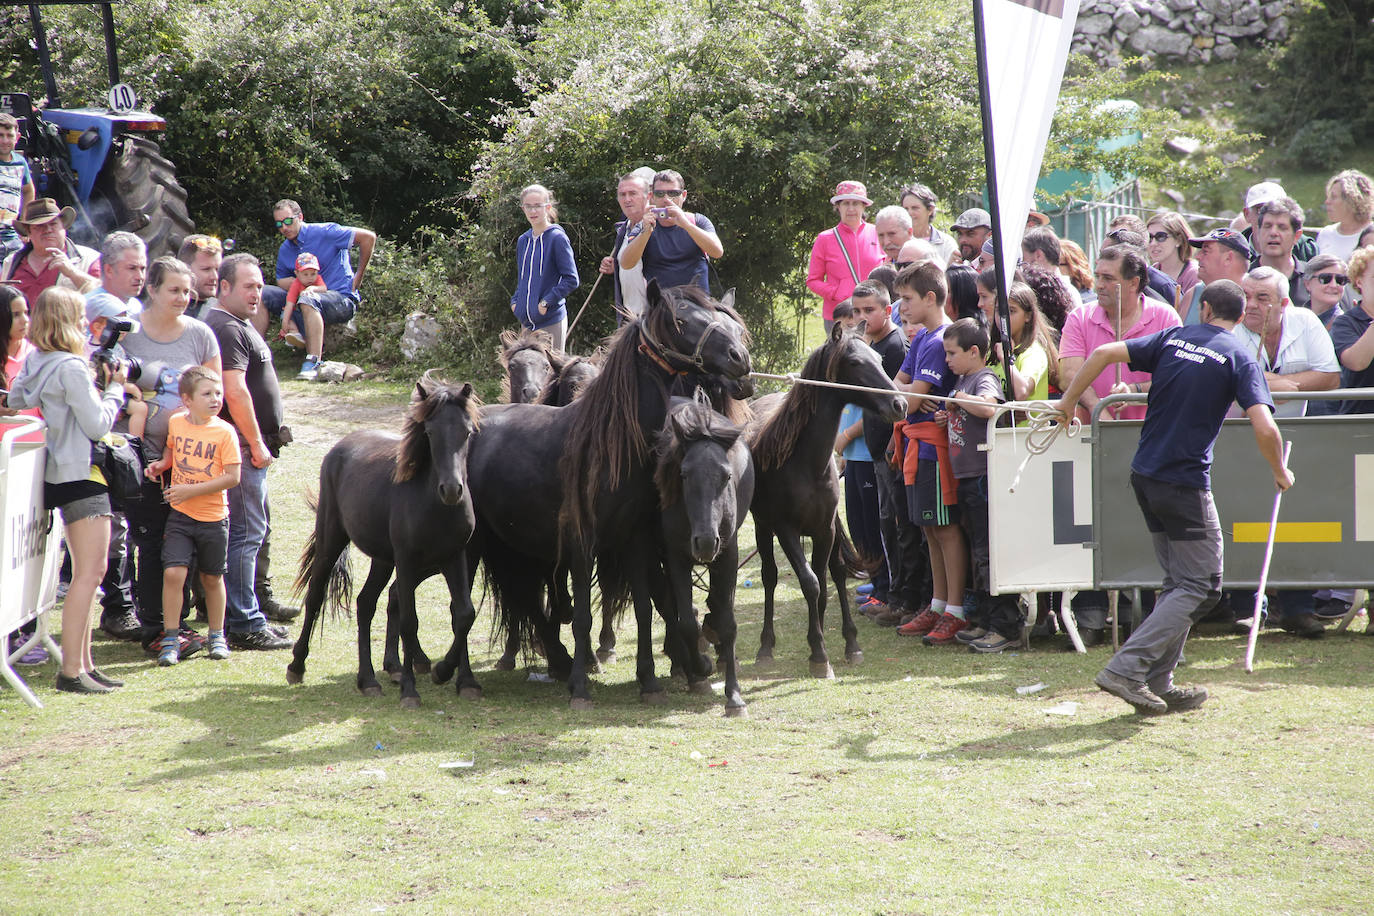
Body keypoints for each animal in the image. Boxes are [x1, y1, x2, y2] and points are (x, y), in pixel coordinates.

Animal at [284, 373, 483, 708]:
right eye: (430, 432)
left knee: (365, 604)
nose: (452, 489)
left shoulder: (456, 557)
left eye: (467, 432)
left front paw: (457, 677)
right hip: (331, 539)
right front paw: (411, 690)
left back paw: (368, 680)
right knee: (315, 596)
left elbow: (464, 614)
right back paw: (297, 665)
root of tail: (341, 447)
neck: (434, 506)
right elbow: (409, 620)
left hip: (382, 559)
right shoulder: (407, 561)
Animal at [651, 395, 752, 714]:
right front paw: (700, 668)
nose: (706, 542)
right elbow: (685, 622)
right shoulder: (675, 556)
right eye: (683, 474)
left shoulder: (728, 554)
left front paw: (734, 696)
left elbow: (728, 623)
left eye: (727, 475)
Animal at [747, 321, 906, 672]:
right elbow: (809, 582)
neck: (806, 464)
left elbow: (827, 578)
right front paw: (819, 653)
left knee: (829, 572)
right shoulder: (786, 529)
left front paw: (843, 643)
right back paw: (765, 647)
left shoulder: (826, 528)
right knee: (770, 576)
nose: (899, 404)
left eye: (879, 357)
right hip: (763, 528)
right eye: (855, 362)